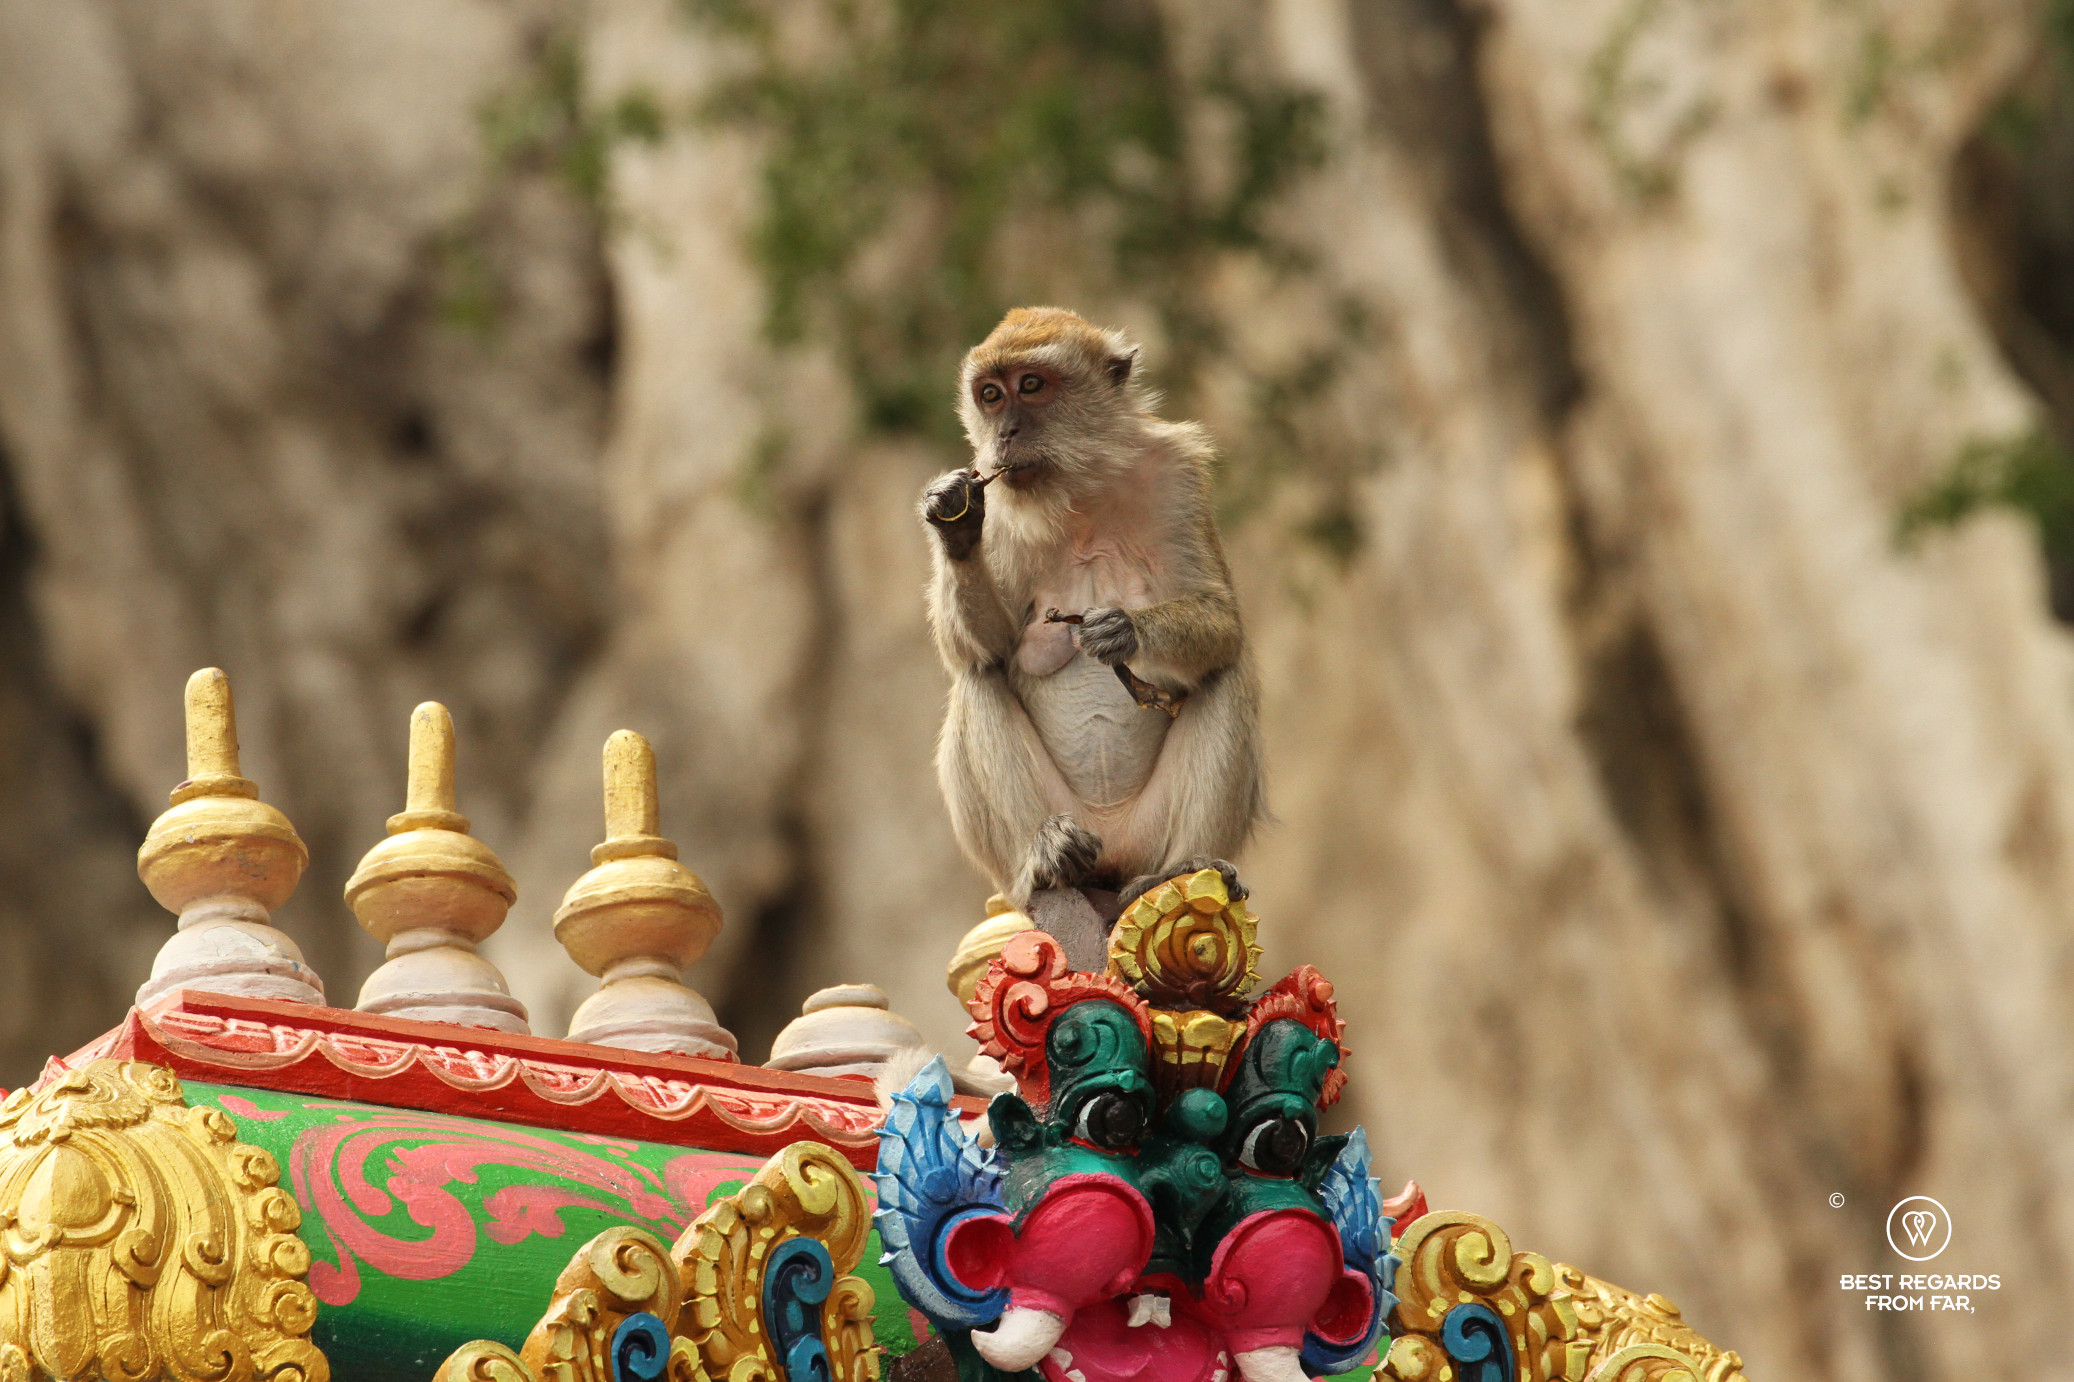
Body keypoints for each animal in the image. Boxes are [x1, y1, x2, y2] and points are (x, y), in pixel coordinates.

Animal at [918, 306, 1265, 920]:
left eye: (1031, 385)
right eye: (990, 395)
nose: (1005, 433)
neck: (1078, 491)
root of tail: (1113, 843)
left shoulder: (1176, 477)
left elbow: (1223, 623)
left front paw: (1123, 630)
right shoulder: (999, 500)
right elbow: (986, 649)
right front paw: (953, 522)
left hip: (1148, 830)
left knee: (1226, 673)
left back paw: (1186, 864)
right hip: (1053, 832)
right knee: (977, 681)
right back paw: (1045, 857)